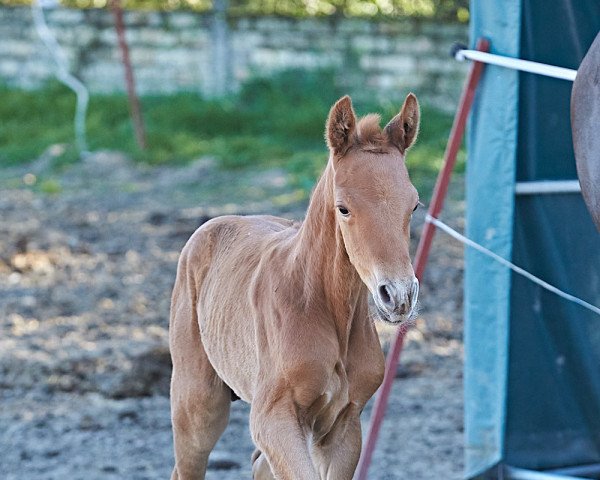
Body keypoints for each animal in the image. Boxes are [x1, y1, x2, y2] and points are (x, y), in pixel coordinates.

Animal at [169, 94, 422, 480]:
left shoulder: (344, 424)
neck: (316, 302)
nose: (399, 296)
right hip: (196, 405)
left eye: (415, 205)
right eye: (343, 208)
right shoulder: (273, 418)